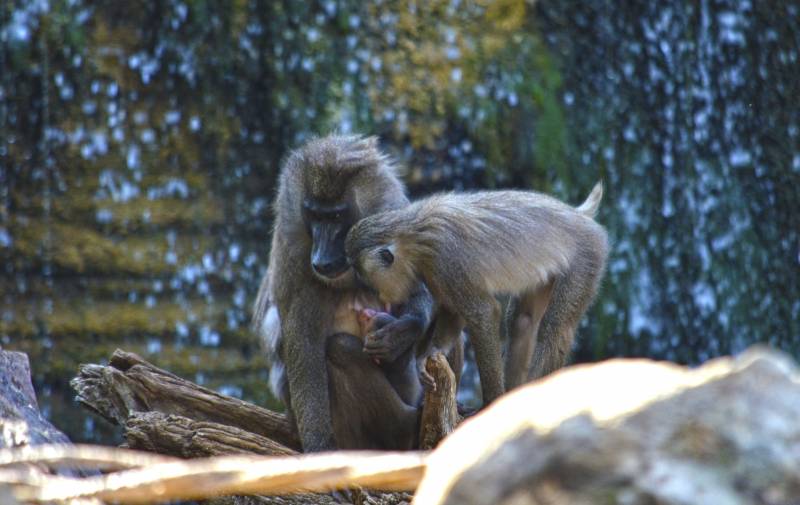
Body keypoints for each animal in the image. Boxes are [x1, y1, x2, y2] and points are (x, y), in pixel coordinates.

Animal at [250, 133, 462, 448]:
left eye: (337, 216)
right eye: (315, 216)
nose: (321, 258)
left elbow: (420, 288)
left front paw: (402, 332)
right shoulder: (293, 258)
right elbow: (304, 344)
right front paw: (318, 447)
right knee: (339, 349)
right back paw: (404, 427)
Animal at [344, 183, 608, 404]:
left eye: (370, 283)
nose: (382, 298)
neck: (415, 234)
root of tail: (578, 215)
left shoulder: (446, 258)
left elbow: (483, 313)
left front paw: (491, 402)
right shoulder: (435, 271)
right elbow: (453, 311)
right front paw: (429, 354)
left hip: (588, 254)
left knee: (555, 329)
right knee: (523, 323)